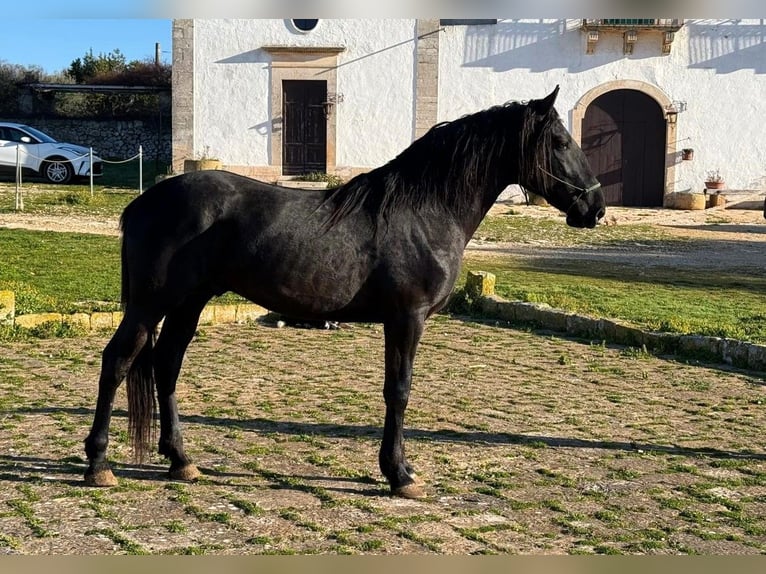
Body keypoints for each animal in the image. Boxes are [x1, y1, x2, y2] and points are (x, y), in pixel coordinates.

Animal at [84, 85, 608, 500]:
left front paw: (398, 469)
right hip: (150, 305)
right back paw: (98, 464)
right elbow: (399, 390)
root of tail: (144, 202)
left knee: (167, 365)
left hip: (188, 304)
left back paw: (180, 460)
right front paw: (399, 475)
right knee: (118, 361)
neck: (424, 210)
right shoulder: (407, 318)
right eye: (560, 142)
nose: (597, 207)